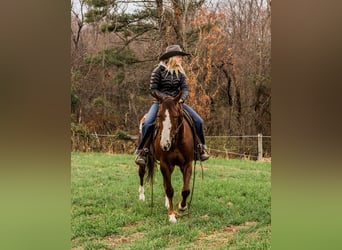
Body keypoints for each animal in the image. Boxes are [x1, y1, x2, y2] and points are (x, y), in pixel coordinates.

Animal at [137, 91, 195, 223]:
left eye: (175, 116)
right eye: (158, 115)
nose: (164, 144)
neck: (176, 142)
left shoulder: (187, 164)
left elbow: (186, 190)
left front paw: (182, 206)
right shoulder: (164, 164)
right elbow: (169, 189)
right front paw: (172, 216)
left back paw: (167, 203)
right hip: (145, 160)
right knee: (141, 174)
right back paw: (142, 196)